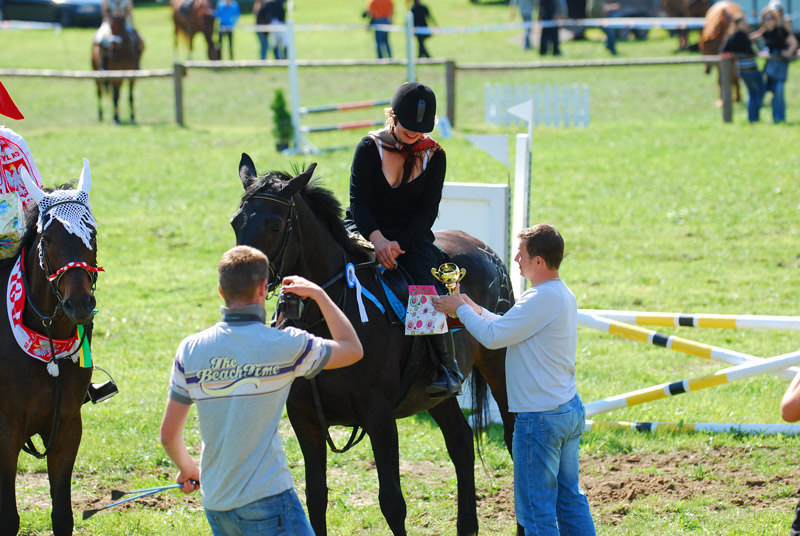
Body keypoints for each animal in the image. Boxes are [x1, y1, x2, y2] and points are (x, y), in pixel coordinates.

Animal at [0, 160, 103, 536]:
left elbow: (62, 516)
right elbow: (8, 519)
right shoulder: (6, 432)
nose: (80, 305)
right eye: (48, 238)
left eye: (93, 235)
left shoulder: (67, 428)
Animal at [228, 156, 520, 536]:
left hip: (499, 365)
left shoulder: (379, 416)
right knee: (460, 441)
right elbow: (315, 497)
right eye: (236, 222)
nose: (240, 280)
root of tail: (488, 254)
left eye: (276, 225)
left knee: (514, 437)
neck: (329, 319)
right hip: (437, 395)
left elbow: (392, 503)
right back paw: (467, 526)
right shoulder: (303, 417)